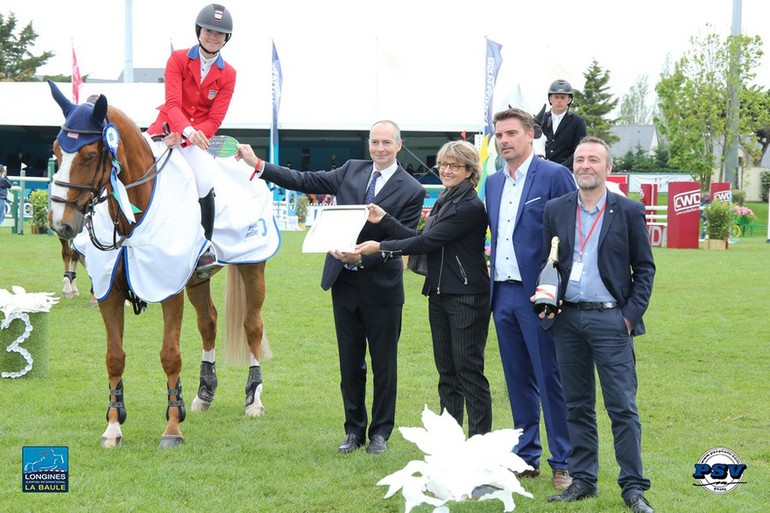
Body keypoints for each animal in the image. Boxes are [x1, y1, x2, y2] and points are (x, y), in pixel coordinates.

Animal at [46, 82, 270, 446]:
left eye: (89, 155)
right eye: (56, 151)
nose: (61, 224)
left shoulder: (168, 287)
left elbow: (170, 355)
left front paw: (173, 428)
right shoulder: (109, 293)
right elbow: (114, 358)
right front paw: (113, 426)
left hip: (253, 265)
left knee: (252, 325)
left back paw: (253, 399)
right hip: (197, 279)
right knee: (208, 322)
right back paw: (203, 395)